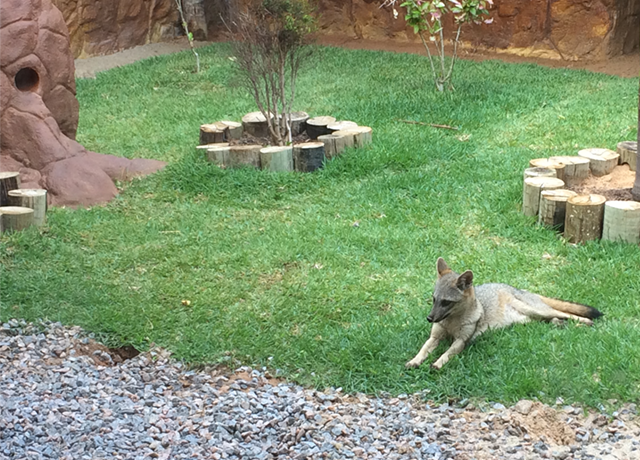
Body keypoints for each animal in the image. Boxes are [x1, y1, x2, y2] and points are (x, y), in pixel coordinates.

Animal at [408, 258, 604, 370]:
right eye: (434, 299)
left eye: (446, 302)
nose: (429, 318)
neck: (452, 323)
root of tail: (517, 288)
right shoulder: (435, 337)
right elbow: (423, 349)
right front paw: (415, 360)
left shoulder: (461, 341)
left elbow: (447, 353)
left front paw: (438, 363)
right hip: (528, 320)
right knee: (551, 319)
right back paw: (559, 323)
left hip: (535, 310)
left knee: (563, 313)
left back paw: (584, 321)